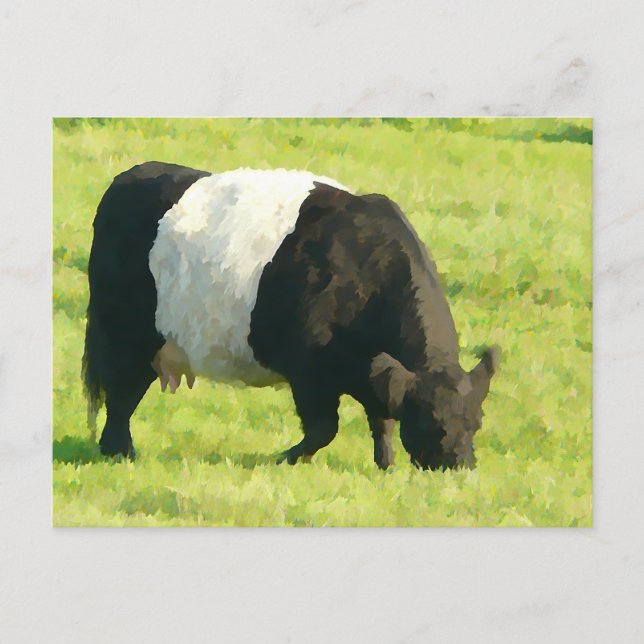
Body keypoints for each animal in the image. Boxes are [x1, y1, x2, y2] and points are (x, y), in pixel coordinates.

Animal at [82, 161, 498, 470]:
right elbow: (323, 430)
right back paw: (119, 452)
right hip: (123, 331)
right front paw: (283, 458)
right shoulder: (309, 370)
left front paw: (386, 466)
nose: (459, 466)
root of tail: (129, 176)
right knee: (119, 393)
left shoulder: (371, 372)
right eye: (431, 422)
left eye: (477, 422)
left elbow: (382, 420)